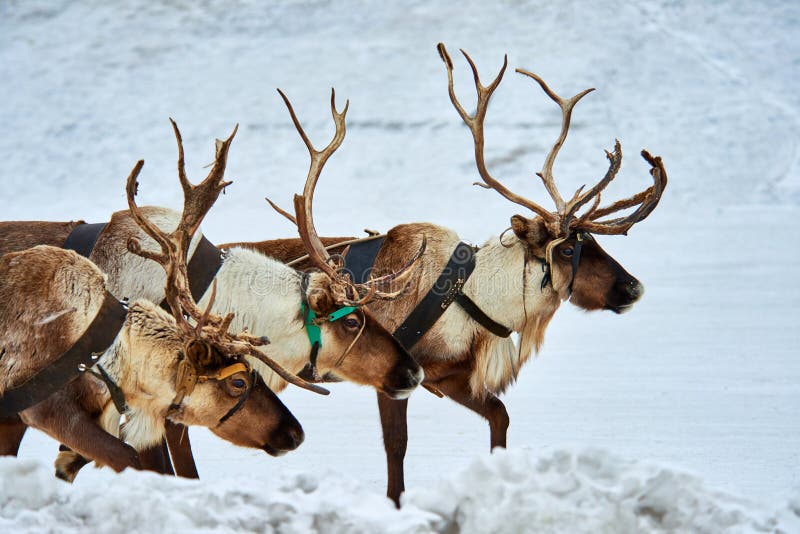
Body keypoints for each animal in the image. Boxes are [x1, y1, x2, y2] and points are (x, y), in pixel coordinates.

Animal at [232, 44, 668, 506]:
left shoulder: (452, 378)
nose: (632, 287)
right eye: (568, 249)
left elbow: (500, 417)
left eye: (593, 243)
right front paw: (397, 503)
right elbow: (397, 446)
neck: (475, 302)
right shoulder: (395, 375)